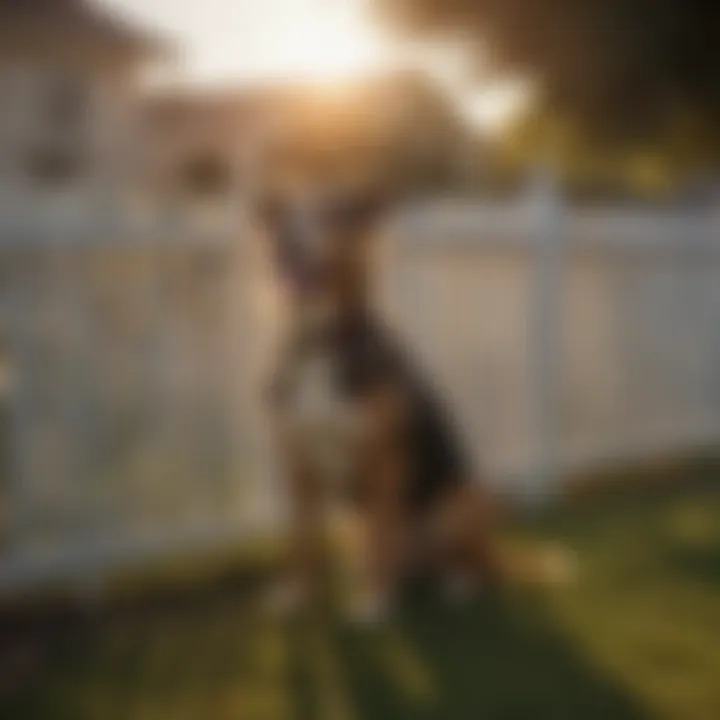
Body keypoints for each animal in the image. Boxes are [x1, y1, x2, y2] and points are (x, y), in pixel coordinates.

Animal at [256, 179, 510, 620]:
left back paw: (456, 585)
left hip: (464, 499)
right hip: (350, 524)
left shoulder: (383, 462)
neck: (320, 344)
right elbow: (301, 542)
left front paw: (374, 601)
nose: (287, 241)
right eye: (285, 214)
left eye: (331, 213)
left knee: (474, 563)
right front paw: (299, 593)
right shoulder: (298, 465)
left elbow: (382, 536)